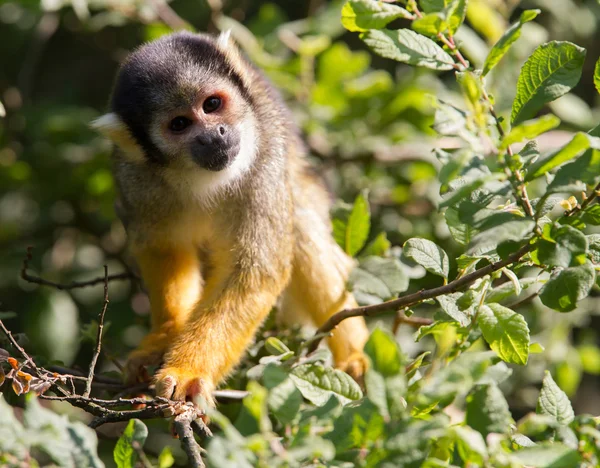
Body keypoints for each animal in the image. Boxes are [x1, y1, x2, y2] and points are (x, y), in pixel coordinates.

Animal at [94, 32, 368, 406]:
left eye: (212, 104)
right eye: (180, 124)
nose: (215, 135)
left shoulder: (264, 157)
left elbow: (255, 272)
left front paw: (188, 371)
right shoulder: (136, 175)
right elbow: (162, 247)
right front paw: (164, 337)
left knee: (299, 224)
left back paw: (352, 354)